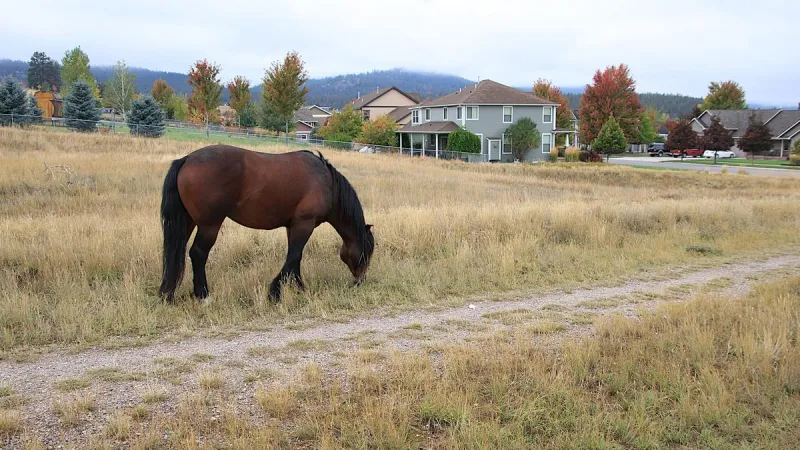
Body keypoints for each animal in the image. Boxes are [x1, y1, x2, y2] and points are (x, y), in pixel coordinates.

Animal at [157, 144, 375, 303]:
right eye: (367, 251)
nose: (360, 281)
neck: (326, 181)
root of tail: (186, 160)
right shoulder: (305, 224)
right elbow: (293, 256)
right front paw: (275, 292)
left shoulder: (293, 226)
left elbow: (295, 258)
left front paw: (299, 287)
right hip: (210, 225)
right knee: (198, 254)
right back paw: (203, 295)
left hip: (188, 222)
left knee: (177, 251)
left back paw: (168, 293)